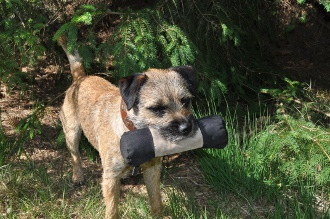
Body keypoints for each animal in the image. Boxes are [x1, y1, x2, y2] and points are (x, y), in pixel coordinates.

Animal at [57, 36, 196, 219]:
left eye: (186, 101)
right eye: (157, 109)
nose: (186, 127)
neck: (137, 136)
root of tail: (81, 78)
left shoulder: (152, 169)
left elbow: (156, 202)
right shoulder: (109, 179)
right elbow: (112, 211)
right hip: (72, 132)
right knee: (75, 155)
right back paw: (78, 175)